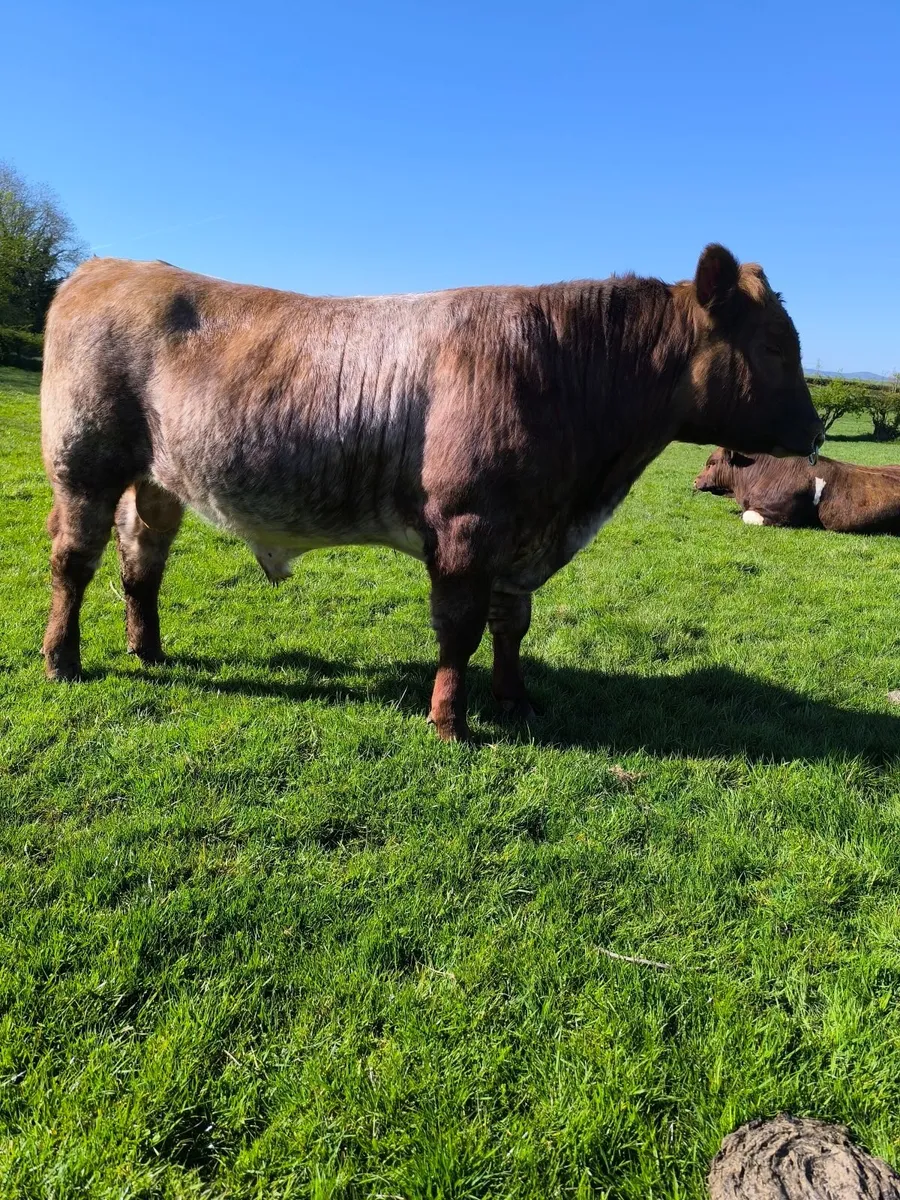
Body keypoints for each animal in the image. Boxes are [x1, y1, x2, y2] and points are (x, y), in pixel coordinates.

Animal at [40, 244, 823, 740]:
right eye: (774, 346)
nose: (817, 428)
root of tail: (108, 266)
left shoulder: (521, 535)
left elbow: (511, 627)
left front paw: (514, 701)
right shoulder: (466, 527)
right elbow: (459, 630)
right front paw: (450, 720)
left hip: (156, 481)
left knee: (141, 563)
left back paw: (148, 650)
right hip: (83, 465)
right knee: (73, 563)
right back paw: (63, 660)